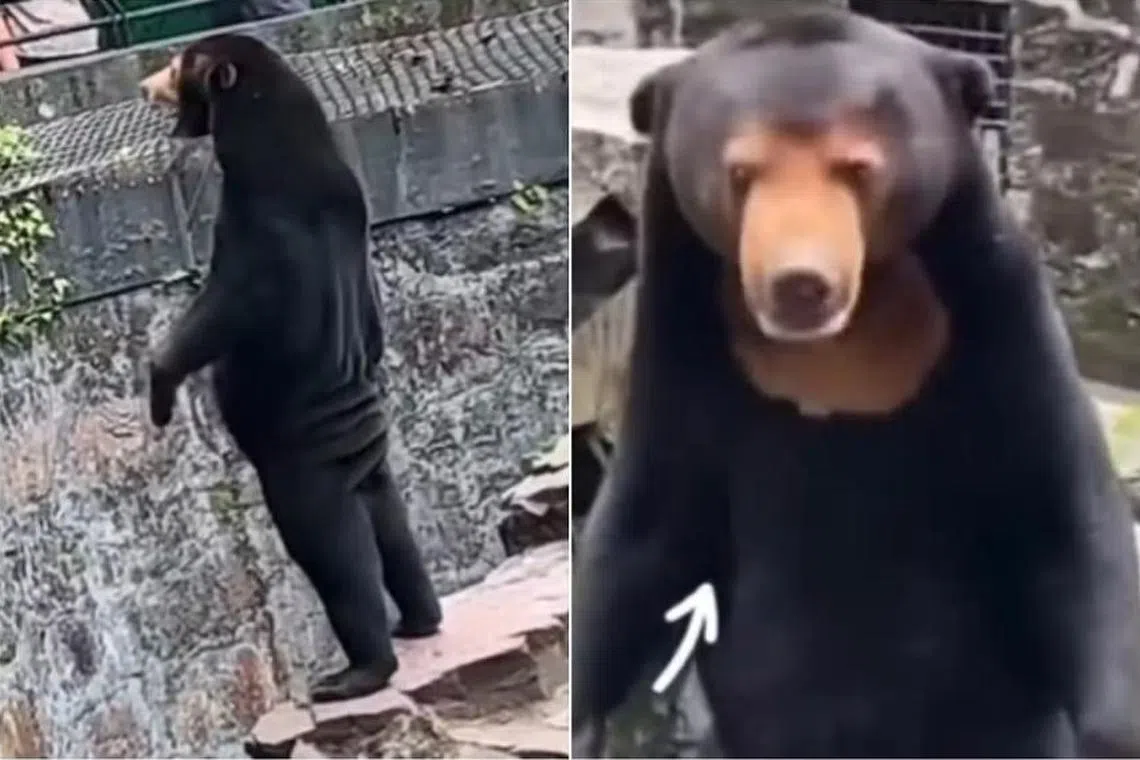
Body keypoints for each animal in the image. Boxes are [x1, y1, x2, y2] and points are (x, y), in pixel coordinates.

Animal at [138, 34, 442, 703]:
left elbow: (217, 313)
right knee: (392, 524)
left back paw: (357, 671)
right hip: (369, 463)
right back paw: (420, 619)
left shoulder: (254, 226)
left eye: (177, 65)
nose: (145, 84)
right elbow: (372, 319)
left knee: (334, 551)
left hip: (302, 467)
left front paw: (160, 392)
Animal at [571, 9, 1140, 758]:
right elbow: (643, 536)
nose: (800, 283)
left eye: (857, 169)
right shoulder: (682, 342)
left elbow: (1065, 527)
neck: (840, 347)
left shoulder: (1000, 321)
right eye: (741, 172)